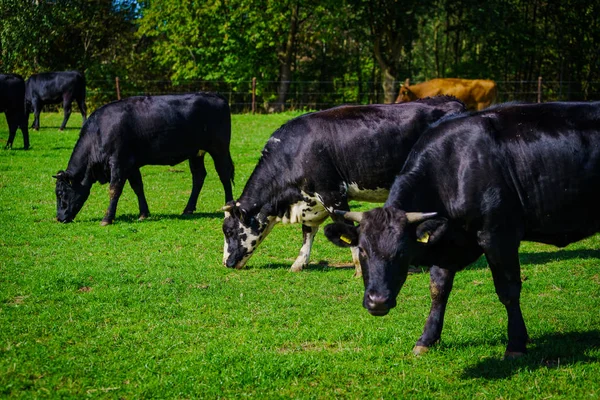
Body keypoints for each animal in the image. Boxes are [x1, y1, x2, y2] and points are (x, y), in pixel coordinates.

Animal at [54, 92, 234, 227]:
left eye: (61, 193)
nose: (59, 218)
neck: (98, 132)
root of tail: (216, 96)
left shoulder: (118, 162)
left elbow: (114, 189)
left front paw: (107, 219)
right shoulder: (131, 165)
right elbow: (138, 187)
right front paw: (143, 213)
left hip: (219, 149)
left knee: (224, 174)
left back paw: (228, 204)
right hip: (196, 153)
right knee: (198, 176)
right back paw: (188, 209)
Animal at [223, 96, 466, 276]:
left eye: (229, 230)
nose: (226, 263)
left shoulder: (333, 195)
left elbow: (346, 228)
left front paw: (359, 268)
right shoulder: (312, 201)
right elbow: (307, 233)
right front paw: (299, 263)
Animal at [324, 101, 600, 358]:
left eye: (403, 253)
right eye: (362, 250)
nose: (377, 301)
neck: (454, 167)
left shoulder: (499, 235)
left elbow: (508, 290)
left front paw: (516, 344)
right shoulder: (448, 241)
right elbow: (438, 289)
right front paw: (427, 339)